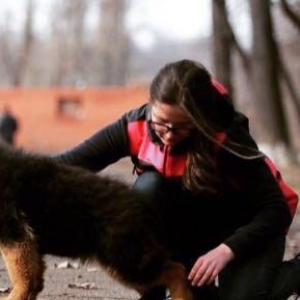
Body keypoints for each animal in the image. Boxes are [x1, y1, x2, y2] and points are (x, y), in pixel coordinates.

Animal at [0, 144, 192, 300]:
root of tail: (141, 203)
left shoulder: (16, 234)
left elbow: (24, 276)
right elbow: (33, 279)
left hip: (127, 259)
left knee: (177, 270)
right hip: (121, 261)